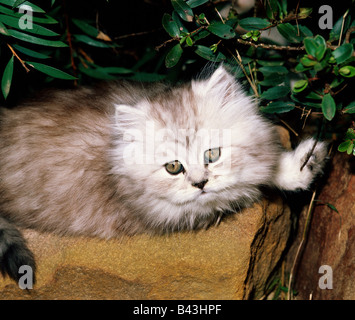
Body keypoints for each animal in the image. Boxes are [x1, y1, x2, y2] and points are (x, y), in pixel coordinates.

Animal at [0, 65, 328, 282]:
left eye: (212, 155)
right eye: (173, 167)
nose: (200, 183)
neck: (114, 152)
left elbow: (264, 164)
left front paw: (303, 163)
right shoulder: (163, 212)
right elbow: (248, 186)